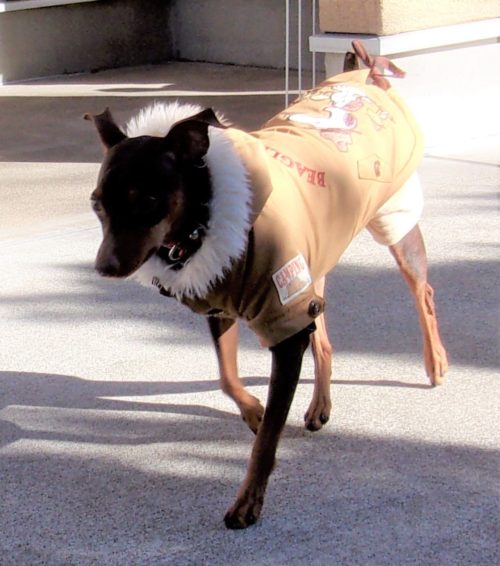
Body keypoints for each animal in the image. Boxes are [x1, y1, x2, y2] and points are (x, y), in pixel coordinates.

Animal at [85, 42, 448, 529]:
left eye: (148, 200)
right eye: (96, 204)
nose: (104, 268)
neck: (201, 228)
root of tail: (364, 75)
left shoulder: (284, 321)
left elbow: (267, 441)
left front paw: (248, 501)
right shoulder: (222, 304)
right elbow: (227, 377)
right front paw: (254, 411)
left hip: (392, 221)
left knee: (422, 292)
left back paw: (435, 362)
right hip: (313, 263)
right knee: (323, 334)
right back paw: (319, 405)